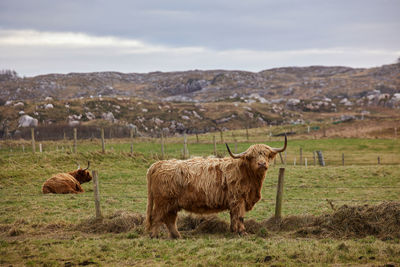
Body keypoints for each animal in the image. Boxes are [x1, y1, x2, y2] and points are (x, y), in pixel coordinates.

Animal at [145, 136, 286, 239]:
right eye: (252, 156)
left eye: (266, 154)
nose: (262, 164)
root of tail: (158, 164)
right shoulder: (239, 199)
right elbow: (240, 216)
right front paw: (242, 232)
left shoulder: (234, 201)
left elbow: (233, 216)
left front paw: (233, 231)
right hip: (163, 201)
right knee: (157, 217)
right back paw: (154, 235)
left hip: (172, 204)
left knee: (170, 219)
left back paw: (177, 236)